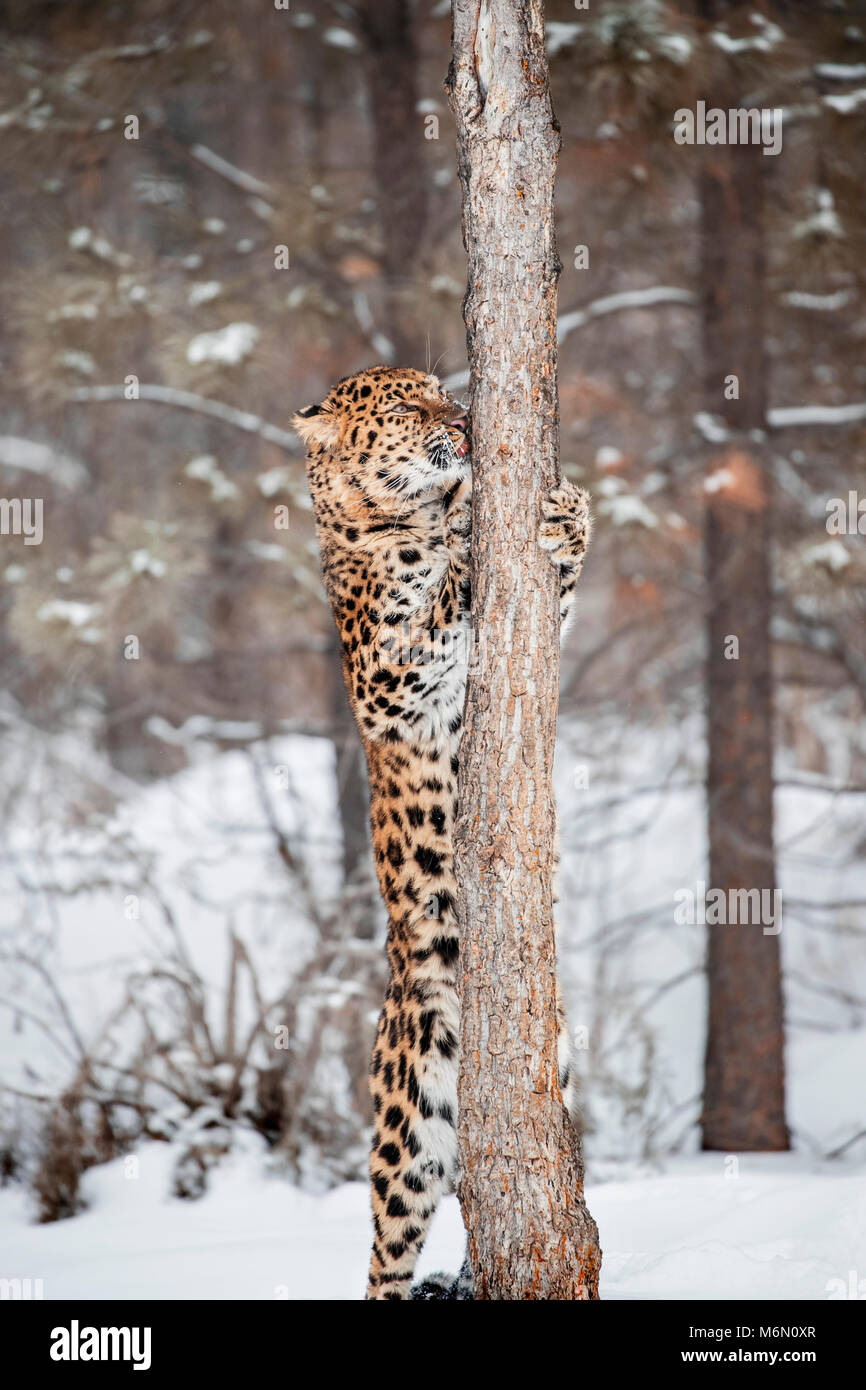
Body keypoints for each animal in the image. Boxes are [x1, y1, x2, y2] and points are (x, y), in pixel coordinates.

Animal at [293, 365, 591, 1300]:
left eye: (439, 387)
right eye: (404, 405)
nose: (462, 420)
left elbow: (553, 593)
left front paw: (571, 513)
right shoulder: (387, 675)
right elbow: (440, 601)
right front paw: (461, 555)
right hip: (411, 1124)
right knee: (385, 1251)